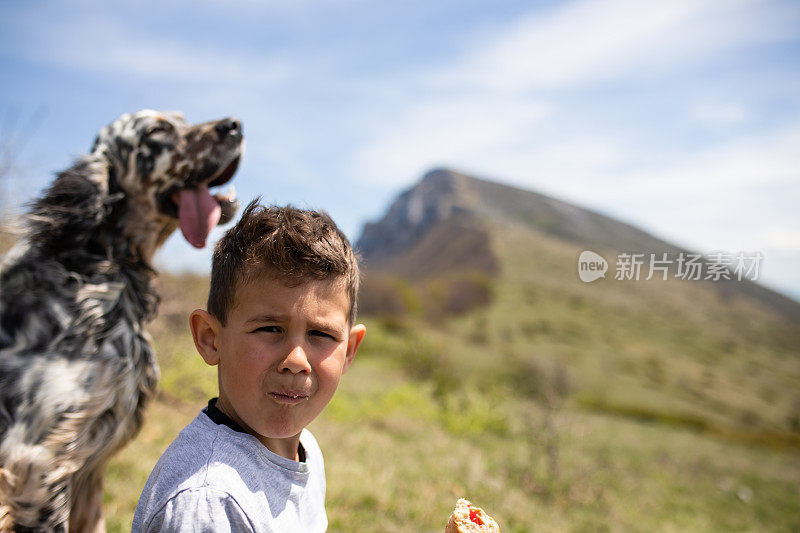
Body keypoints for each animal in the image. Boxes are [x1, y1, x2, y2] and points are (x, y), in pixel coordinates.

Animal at [0, 110, 244, 528]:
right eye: (156, 131)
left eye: (181, 118)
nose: (235, 125)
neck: (99, 266)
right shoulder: (35, 465)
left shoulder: (87, 471)